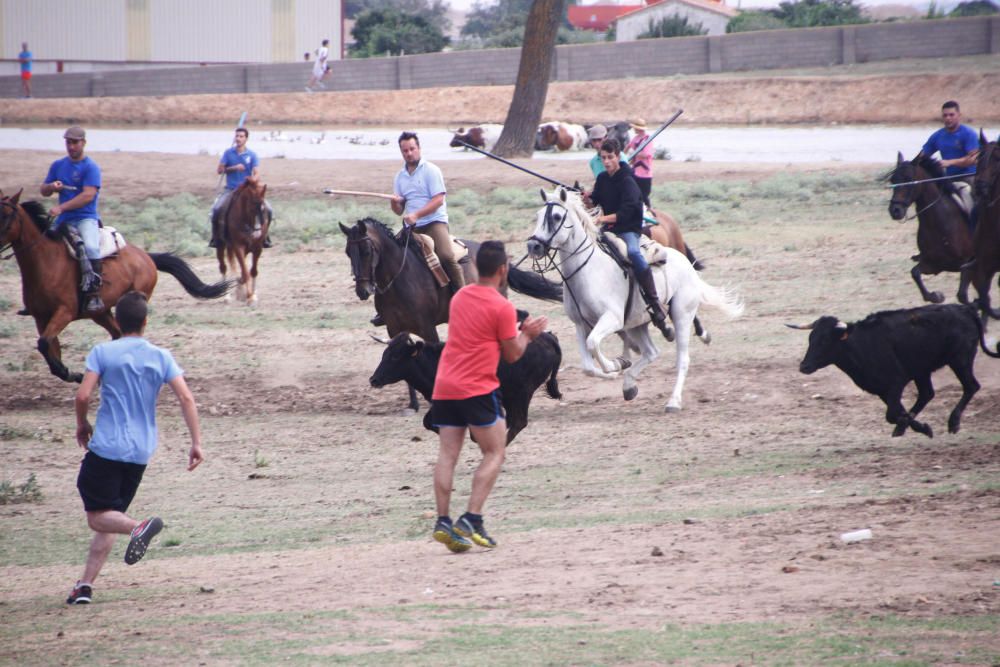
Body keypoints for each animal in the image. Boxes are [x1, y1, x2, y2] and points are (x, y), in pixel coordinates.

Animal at [0, 190, 232, 384]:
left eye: (7, 215)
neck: (47, 262)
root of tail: (146, 256)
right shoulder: (41, 318)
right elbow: (49, 346)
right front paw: (71, 374)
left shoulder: (64, 312)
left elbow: (45, 344)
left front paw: (72, 374)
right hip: (100, 312)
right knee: (118, 333)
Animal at [528, 185, 748, 410]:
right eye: (538, 215)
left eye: (556, 217)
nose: (533, 246)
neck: (589, 270)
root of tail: (686, 263)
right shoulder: (581, 325)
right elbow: (587, 366)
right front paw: (618, 367)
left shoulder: (612, 319)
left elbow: (593, 344)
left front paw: (614, 365)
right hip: (638, 324)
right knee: (651, 352)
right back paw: (629, 386)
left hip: (681, 315)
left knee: (682, 359)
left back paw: (673, 401)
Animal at [888, 153, 972, 304]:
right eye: (893, 179)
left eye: (909, 179)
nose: (895, 211)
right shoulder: (935, 263)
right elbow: (915, 273)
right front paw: (935, 296)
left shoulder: (967, 263)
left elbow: (963, 295)